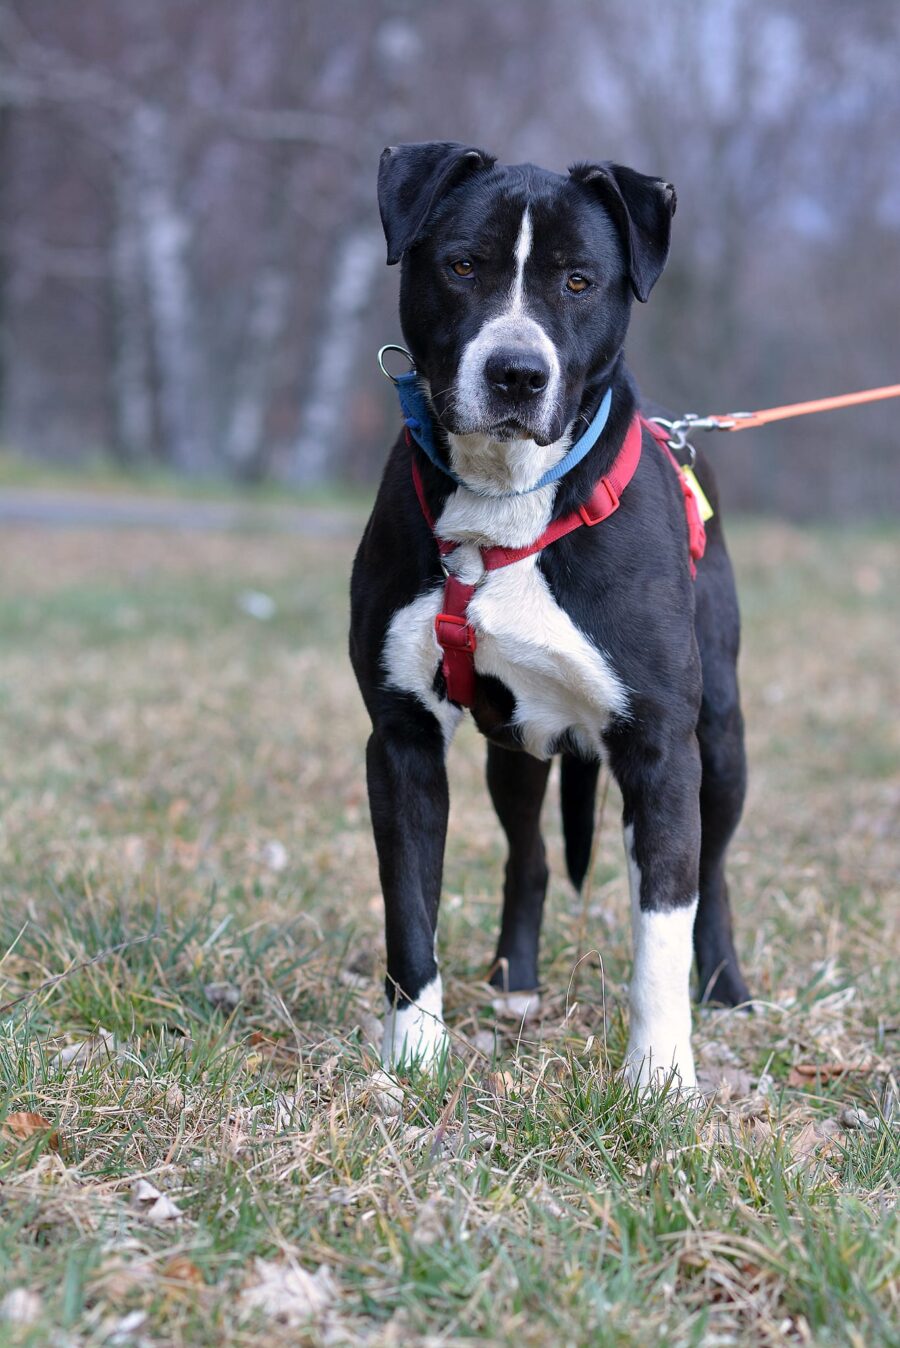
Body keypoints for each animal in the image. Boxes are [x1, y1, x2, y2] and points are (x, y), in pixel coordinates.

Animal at [350, 142, 754, 1089]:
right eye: (462, 265)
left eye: (579, 281)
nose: (517, 373)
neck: (507, 499)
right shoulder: (401, 738)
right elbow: (408, 910)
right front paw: (415, 1057)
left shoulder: (661, 748)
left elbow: (661, 927)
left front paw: (660, 1080)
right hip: (517, 749)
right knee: (528, 856)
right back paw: (516, 986)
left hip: (721, 734)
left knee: (713, 868)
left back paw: (726, 987)